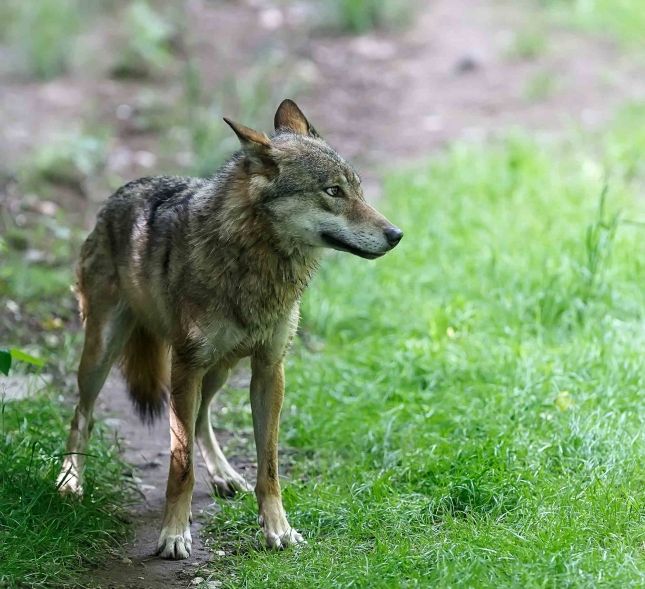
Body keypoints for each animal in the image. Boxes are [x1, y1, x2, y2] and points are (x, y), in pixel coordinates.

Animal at [59, 100, 402, 556]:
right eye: (333, 192)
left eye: (358, 189)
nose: (397, 234)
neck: (255, 263)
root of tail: (117, 197)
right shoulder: (186, 365)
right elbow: (180, 464)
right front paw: (173, 533)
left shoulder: (270, 370)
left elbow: (268, 466)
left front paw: (278, 529)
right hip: (105, 355)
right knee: (84, 415)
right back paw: (70, 481)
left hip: (219, 369)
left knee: (202, 417)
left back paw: (223, 474)